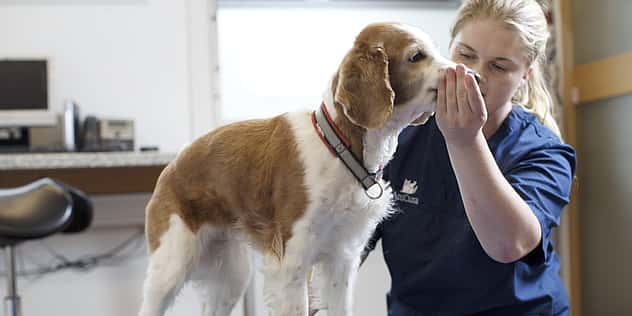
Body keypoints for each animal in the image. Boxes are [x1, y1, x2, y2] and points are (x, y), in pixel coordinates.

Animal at [139, 22, 454, 316]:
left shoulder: (342, 260)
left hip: (232, 275)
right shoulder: (292, 263)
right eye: (416, 56)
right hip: (171, 264)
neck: (340, 149)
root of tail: (173, 164)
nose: (462, 72)